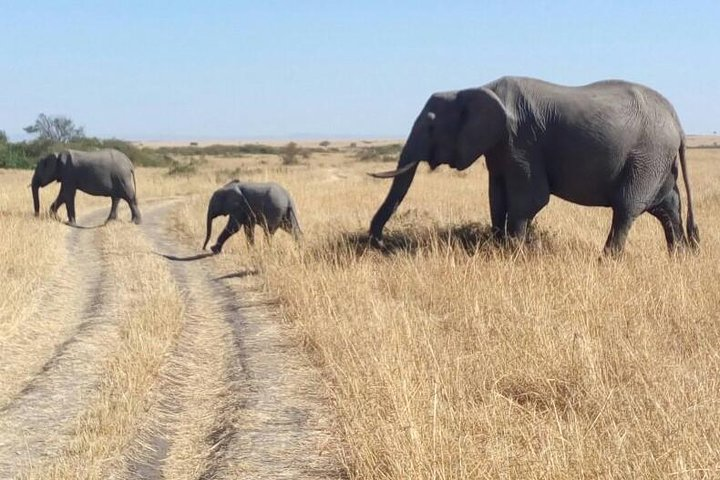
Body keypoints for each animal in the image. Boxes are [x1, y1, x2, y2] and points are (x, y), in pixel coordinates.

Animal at [372, 75, 696, 255]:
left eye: (430, 126)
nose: (379, 244)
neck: (474, 89)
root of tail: (678, 122)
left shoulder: (522, 142)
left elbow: (529, 200)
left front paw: (515, 253)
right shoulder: (500, 147)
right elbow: (497, 198)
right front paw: (499, 248)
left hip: (647, 156)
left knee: (627, 207)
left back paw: (606, 260)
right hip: (656, 159)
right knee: (667, 205)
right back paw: (679, 257)